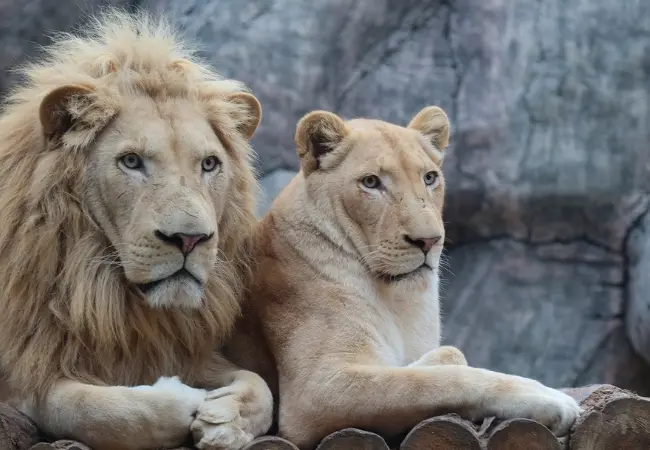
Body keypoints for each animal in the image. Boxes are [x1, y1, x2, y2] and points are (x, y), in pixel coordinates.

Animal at [0, 10, 273, 450]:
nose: (190, 239)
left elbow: (260, 386)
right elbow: (96, 408)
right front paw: (184, 397)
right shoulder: (27, 369)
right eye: (131, 161)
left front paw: (227, 419)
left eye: (209, 164)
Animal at [226, 107, 583, 449]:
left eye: (430, 177)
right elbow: (438, 380)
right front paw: (547, 398)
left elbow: (448, 357)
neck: (398, 298)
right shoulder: (315, 390)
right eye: (371, 182)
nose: (428, 241)